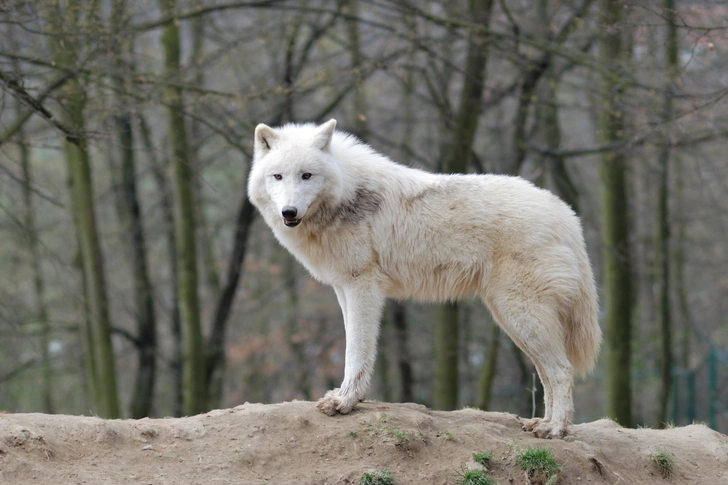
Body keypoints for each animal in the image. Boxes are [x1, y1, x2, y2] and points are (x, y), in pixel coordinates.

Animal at [247, 118, 600, 438]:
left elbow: (356, 350)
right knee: (548, 372)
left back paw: (555, 429)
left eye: (307, 175)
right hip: (514, 320)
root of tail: (566, 214)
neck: (347, 195)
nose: (289, 212)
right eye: (277, 176)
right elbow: (353, 346)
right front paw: (348, 397)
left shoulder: (362, 286)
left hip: (519, 315)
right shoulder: (343, 288)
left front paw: (345, 402)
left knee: (561, 370)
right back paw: (544, 423)